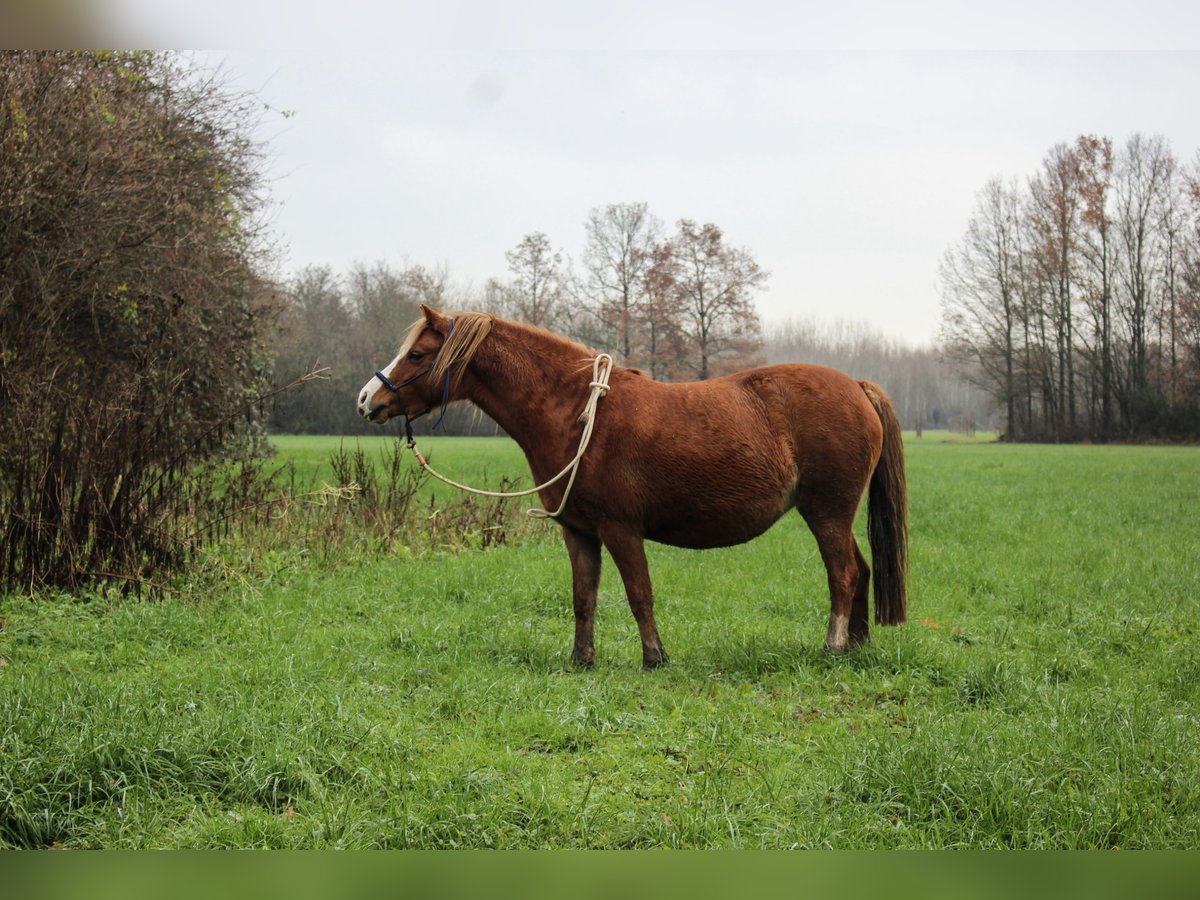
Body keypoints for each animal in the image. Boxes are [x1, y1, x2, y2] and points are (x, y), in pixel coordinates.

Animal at [355, 309, 907, 672]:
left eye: (418, 354)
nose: (367, 399)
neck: (578, 415)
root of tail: (857, 387)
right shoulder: (578, 532)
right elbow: (584, 598)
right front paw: (582, 659)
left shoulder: (621, 530)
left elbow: (639, 594)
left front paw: (654, 658)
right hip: (835, 515)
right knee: (861, 569)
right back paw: (857, 646)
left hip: (826, 513)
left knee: (842, 574)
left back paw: (834, 646)